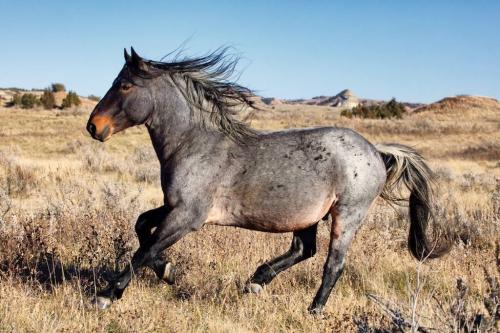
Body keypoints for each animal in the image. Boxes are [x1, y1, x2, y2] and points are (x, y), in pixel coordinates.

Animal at [86, 47, 450, 314]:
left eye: (125, 85)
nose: (93, 126)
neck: (195, 143)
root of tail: (376, 150)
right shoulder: (175, 207)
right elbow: (142, 226)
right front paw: (167, 271)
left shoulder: (188, 216)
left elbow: (145, 249)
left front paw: (106, 295)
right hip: (307, 216)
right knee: (304, 249)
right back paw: (256, 281)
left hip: (347, 215)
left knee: (333, 264)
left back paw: (313, 311)